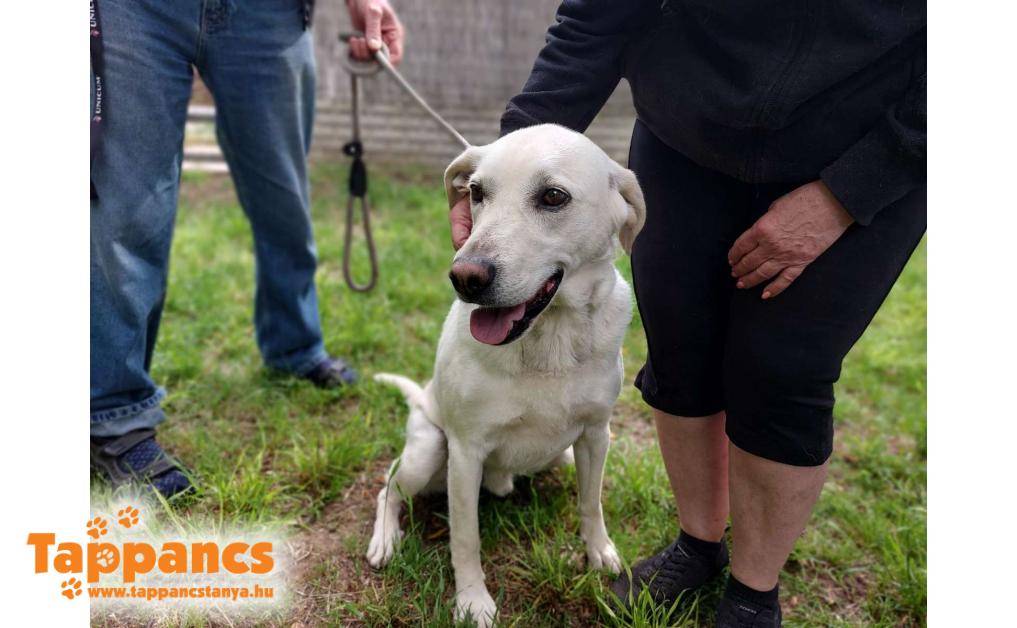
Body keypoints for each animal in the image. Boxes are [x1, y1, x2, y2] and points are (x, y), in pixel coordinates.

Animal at [366, 124, 645, 627]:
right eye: (477, 192)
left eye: (553, 197)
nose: (465, 277)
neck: (549, 341)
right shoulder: (465, 453)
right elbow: (465, 538)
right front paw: (472, 601)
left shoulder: (597, 434)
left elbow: (590, 502)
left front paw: (600, 552)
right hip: (428, 452)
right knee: (389, 486)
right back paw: (384, 539)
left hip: (560, 455)